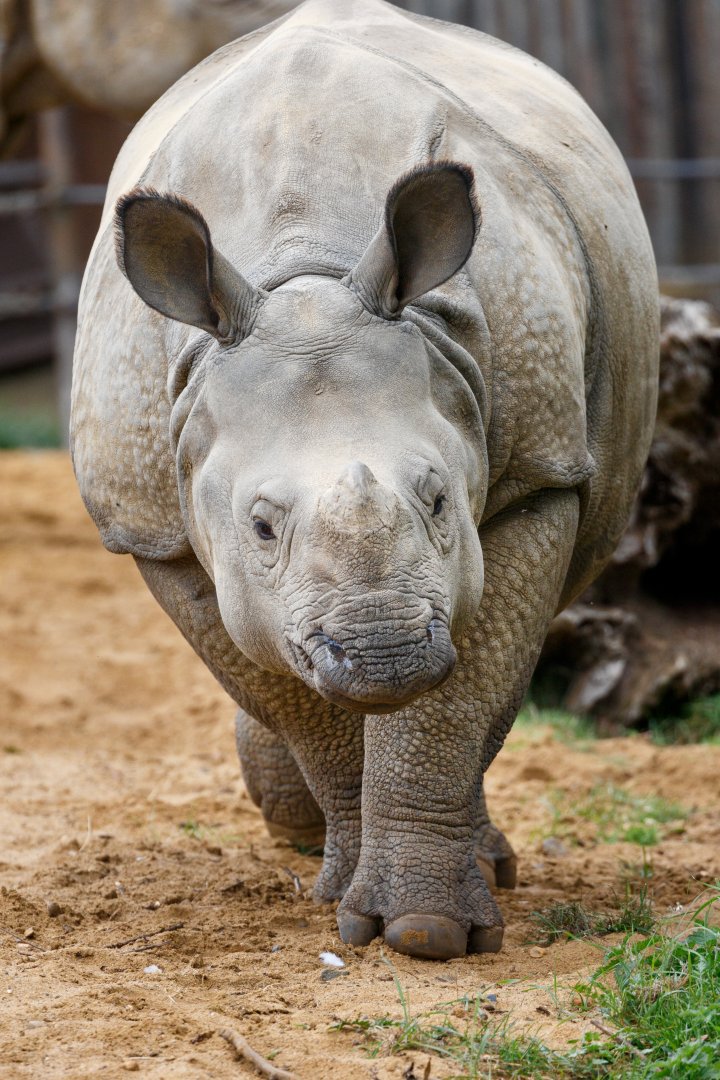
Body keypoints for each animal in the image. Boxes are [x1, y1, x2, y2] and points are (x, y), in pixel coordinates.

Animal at [71, 0, 659, 960]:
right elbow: (302, 705)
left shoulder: (537, 473)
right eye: (261, 527)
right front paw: (345, 891)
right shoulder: (154, 529)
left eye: (438, 499)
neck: (303, 276)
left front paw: (424, 930)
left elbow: (452, 704)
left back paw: (483, 860)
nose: (386, 652)